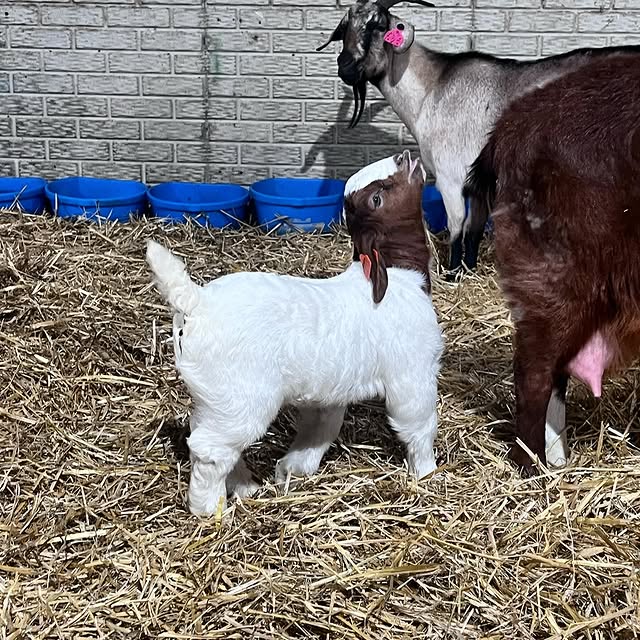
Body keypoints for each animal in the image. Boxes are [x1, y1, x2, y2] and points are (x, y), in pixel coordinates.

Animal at [147, 150, 443, 516]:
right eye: (378, 197)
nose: (403, 156)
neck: (398, 275)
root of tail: (197, 300)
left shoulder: (330, 394)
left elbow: (320, 430)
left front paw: (292, 469)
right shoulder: (412, 375)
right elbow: (418, 425)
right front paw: (427, 473)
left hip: (214, 398)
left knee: (203, 435)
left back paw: (245, 486)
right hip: (243, 399)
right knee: (210, 450)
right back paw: (211, 509)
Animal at [318, 0, 640, 277]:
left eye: (378, 25)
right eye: (344, 27)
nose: (345, 66)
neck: (432, 89)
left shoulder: (450, 175)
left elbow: (457, 225)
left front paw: (452, 273)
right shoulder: (478, 183)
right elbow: (474, 228)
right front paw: (469, 268)